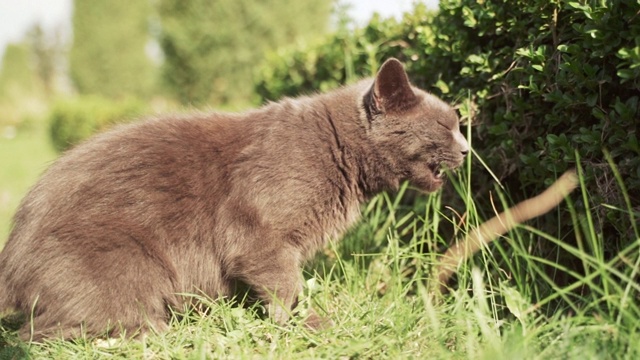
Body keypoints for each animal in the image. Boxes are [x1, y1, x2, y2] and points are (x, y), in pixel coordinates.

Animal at [0, 57, 470, 338]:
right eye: (445, 126)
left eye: (457, 125)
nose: (468, 149)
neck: (336, 150)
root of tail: (10, 261)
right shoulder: (258, 231)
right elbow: (283, 283)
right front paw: (300, 323)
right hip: (124, 264)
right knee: (49, 331)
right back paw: (156, 329)